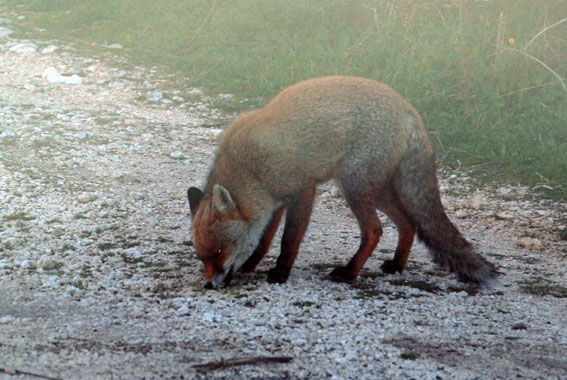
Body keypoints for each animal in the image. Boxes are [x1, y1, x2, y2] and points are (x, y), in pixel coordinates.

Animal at [187, 75, 496, 290]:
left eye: (219, 251)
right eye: (203, 258)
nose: (209, 285)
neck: (250, 167)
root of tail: (410, 112)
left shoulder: (302, 190)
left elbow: (289, 240)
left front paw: (280, 273)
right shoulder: (272, 203)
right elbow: (263, 240)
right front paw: (251, 265)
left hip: (354, 187)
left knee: (374, 231)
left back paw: (349, 272)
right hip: (375, 191)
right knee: (407, 223)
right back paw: (396, 265)